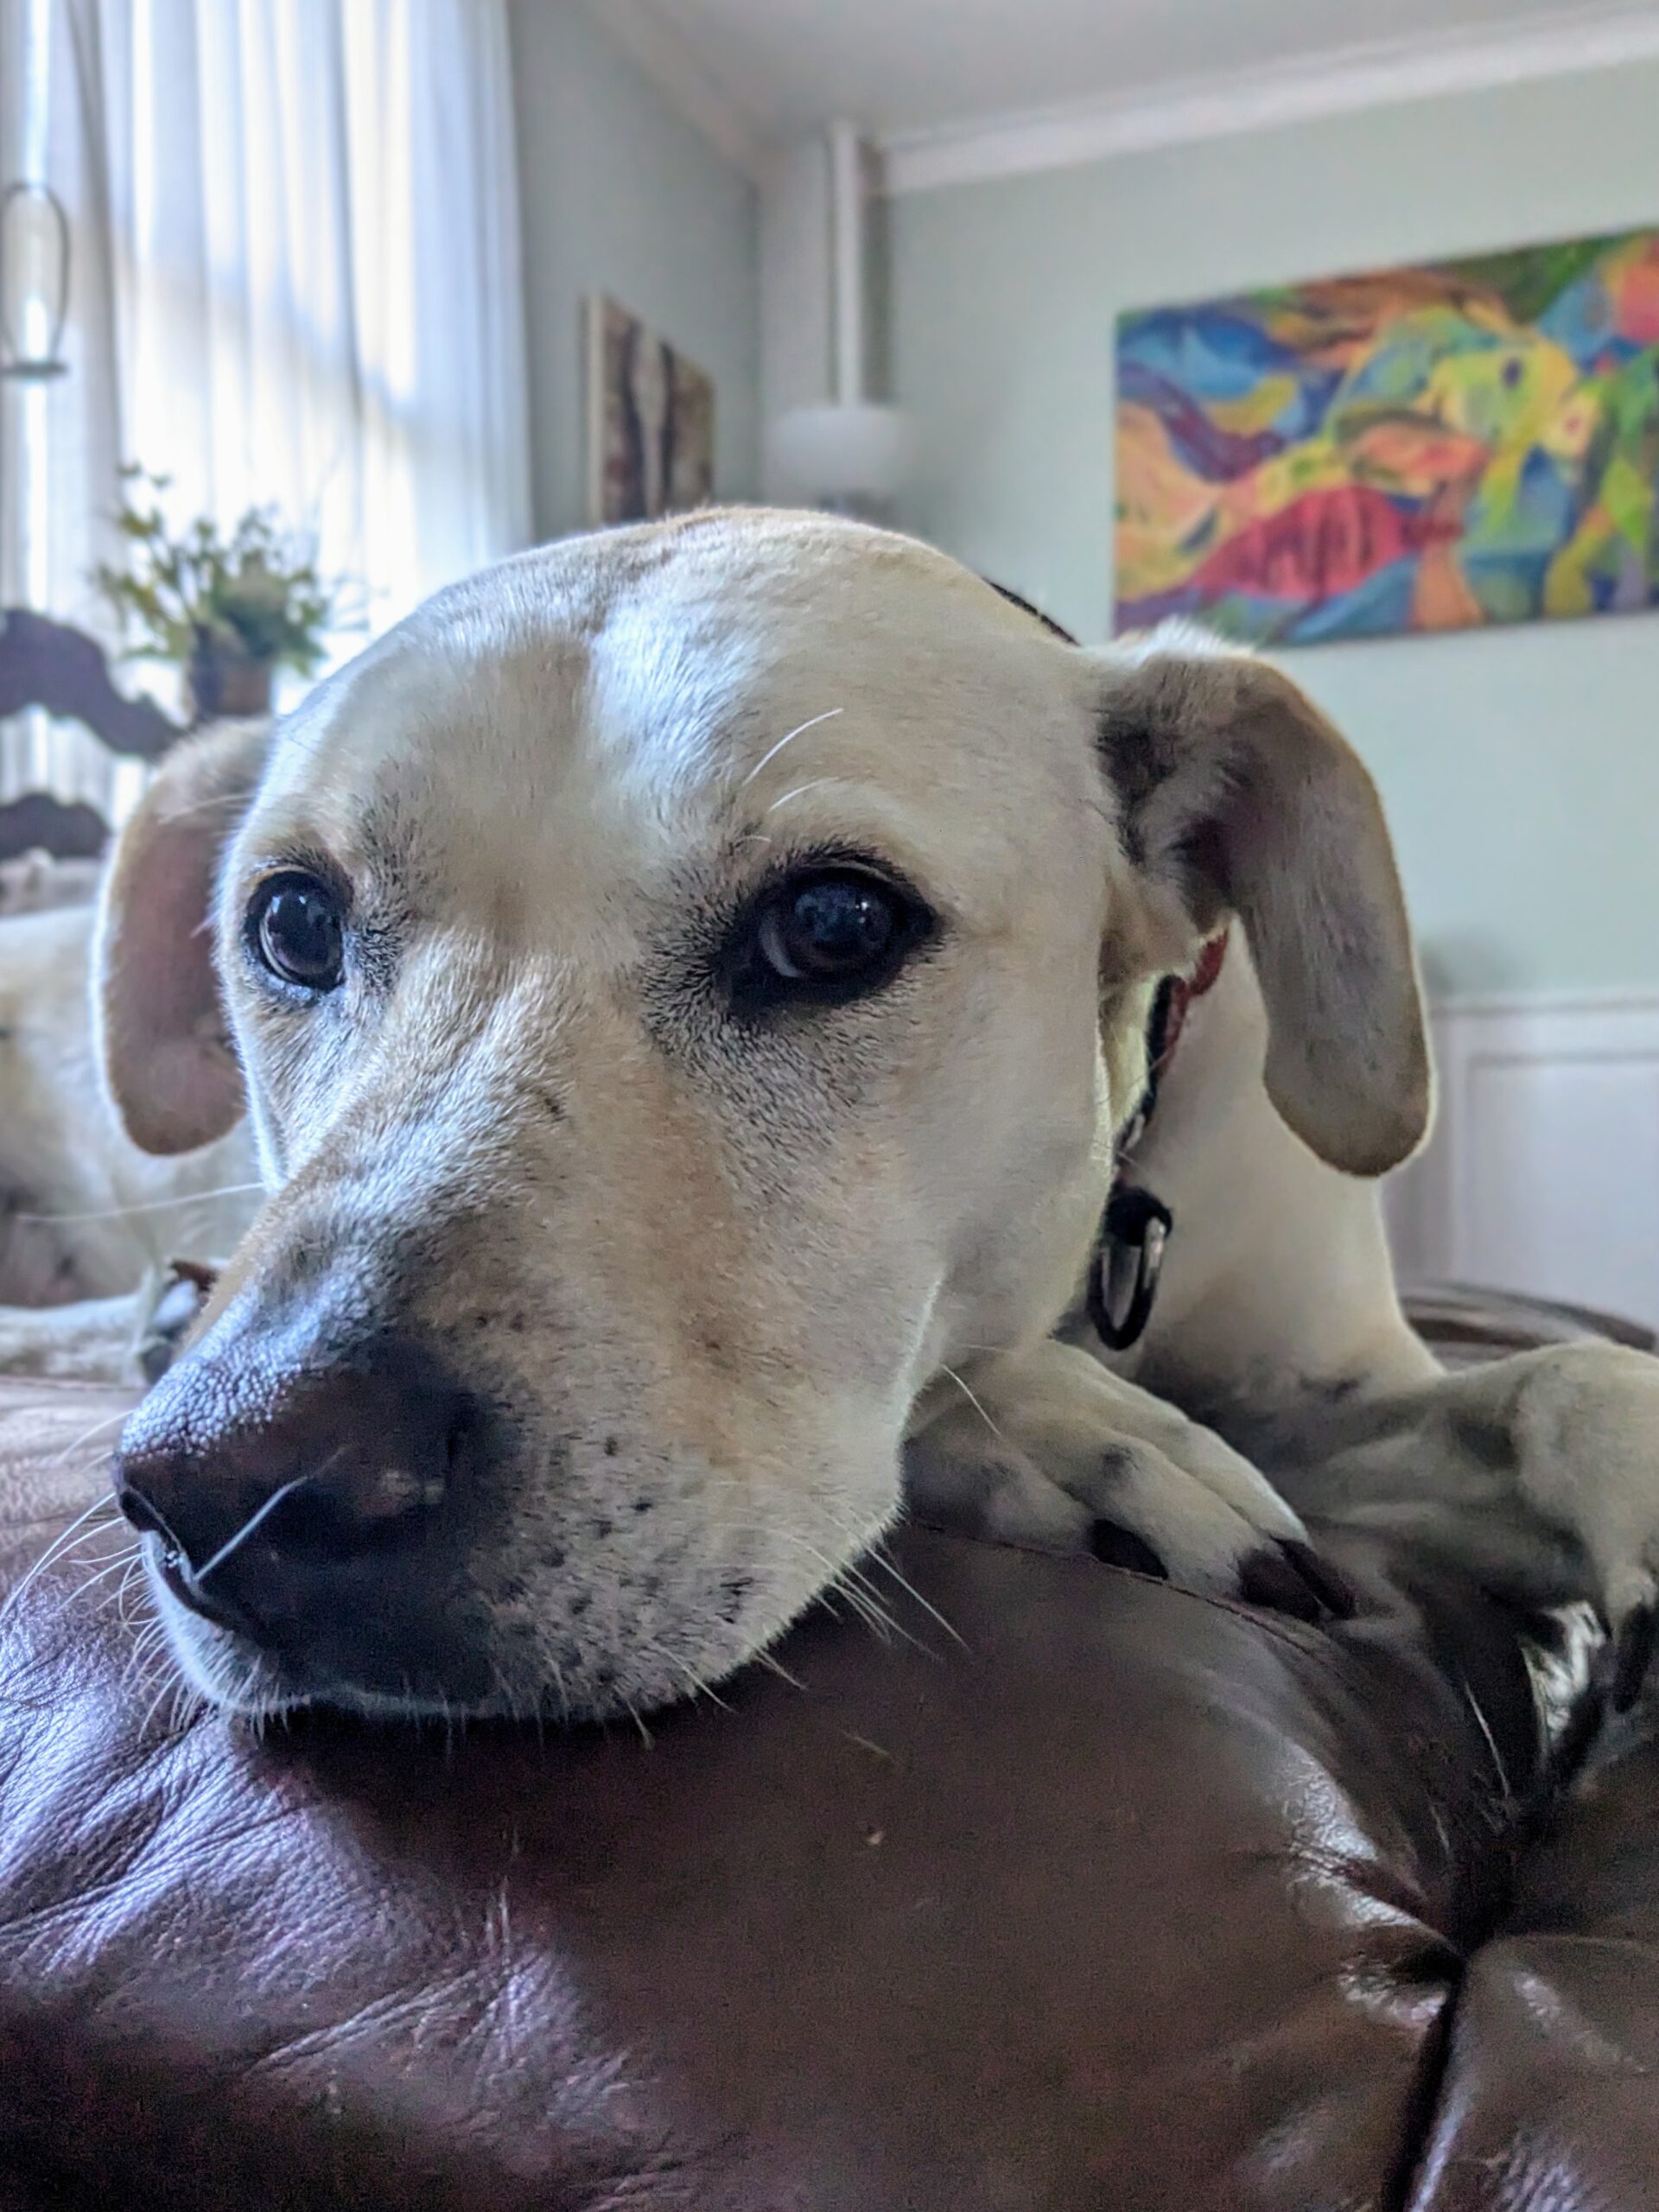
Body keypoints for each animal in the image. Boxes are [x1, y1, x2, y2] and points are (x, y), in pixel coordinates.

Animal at [3, 510, 1656, 1725]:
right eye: (291, 923)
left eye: (835, 924)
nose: (239, 1490)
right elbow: (974, 1382)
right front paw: (1074, 1439)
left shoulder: (1343, 1380)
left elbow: (1567, 1383)